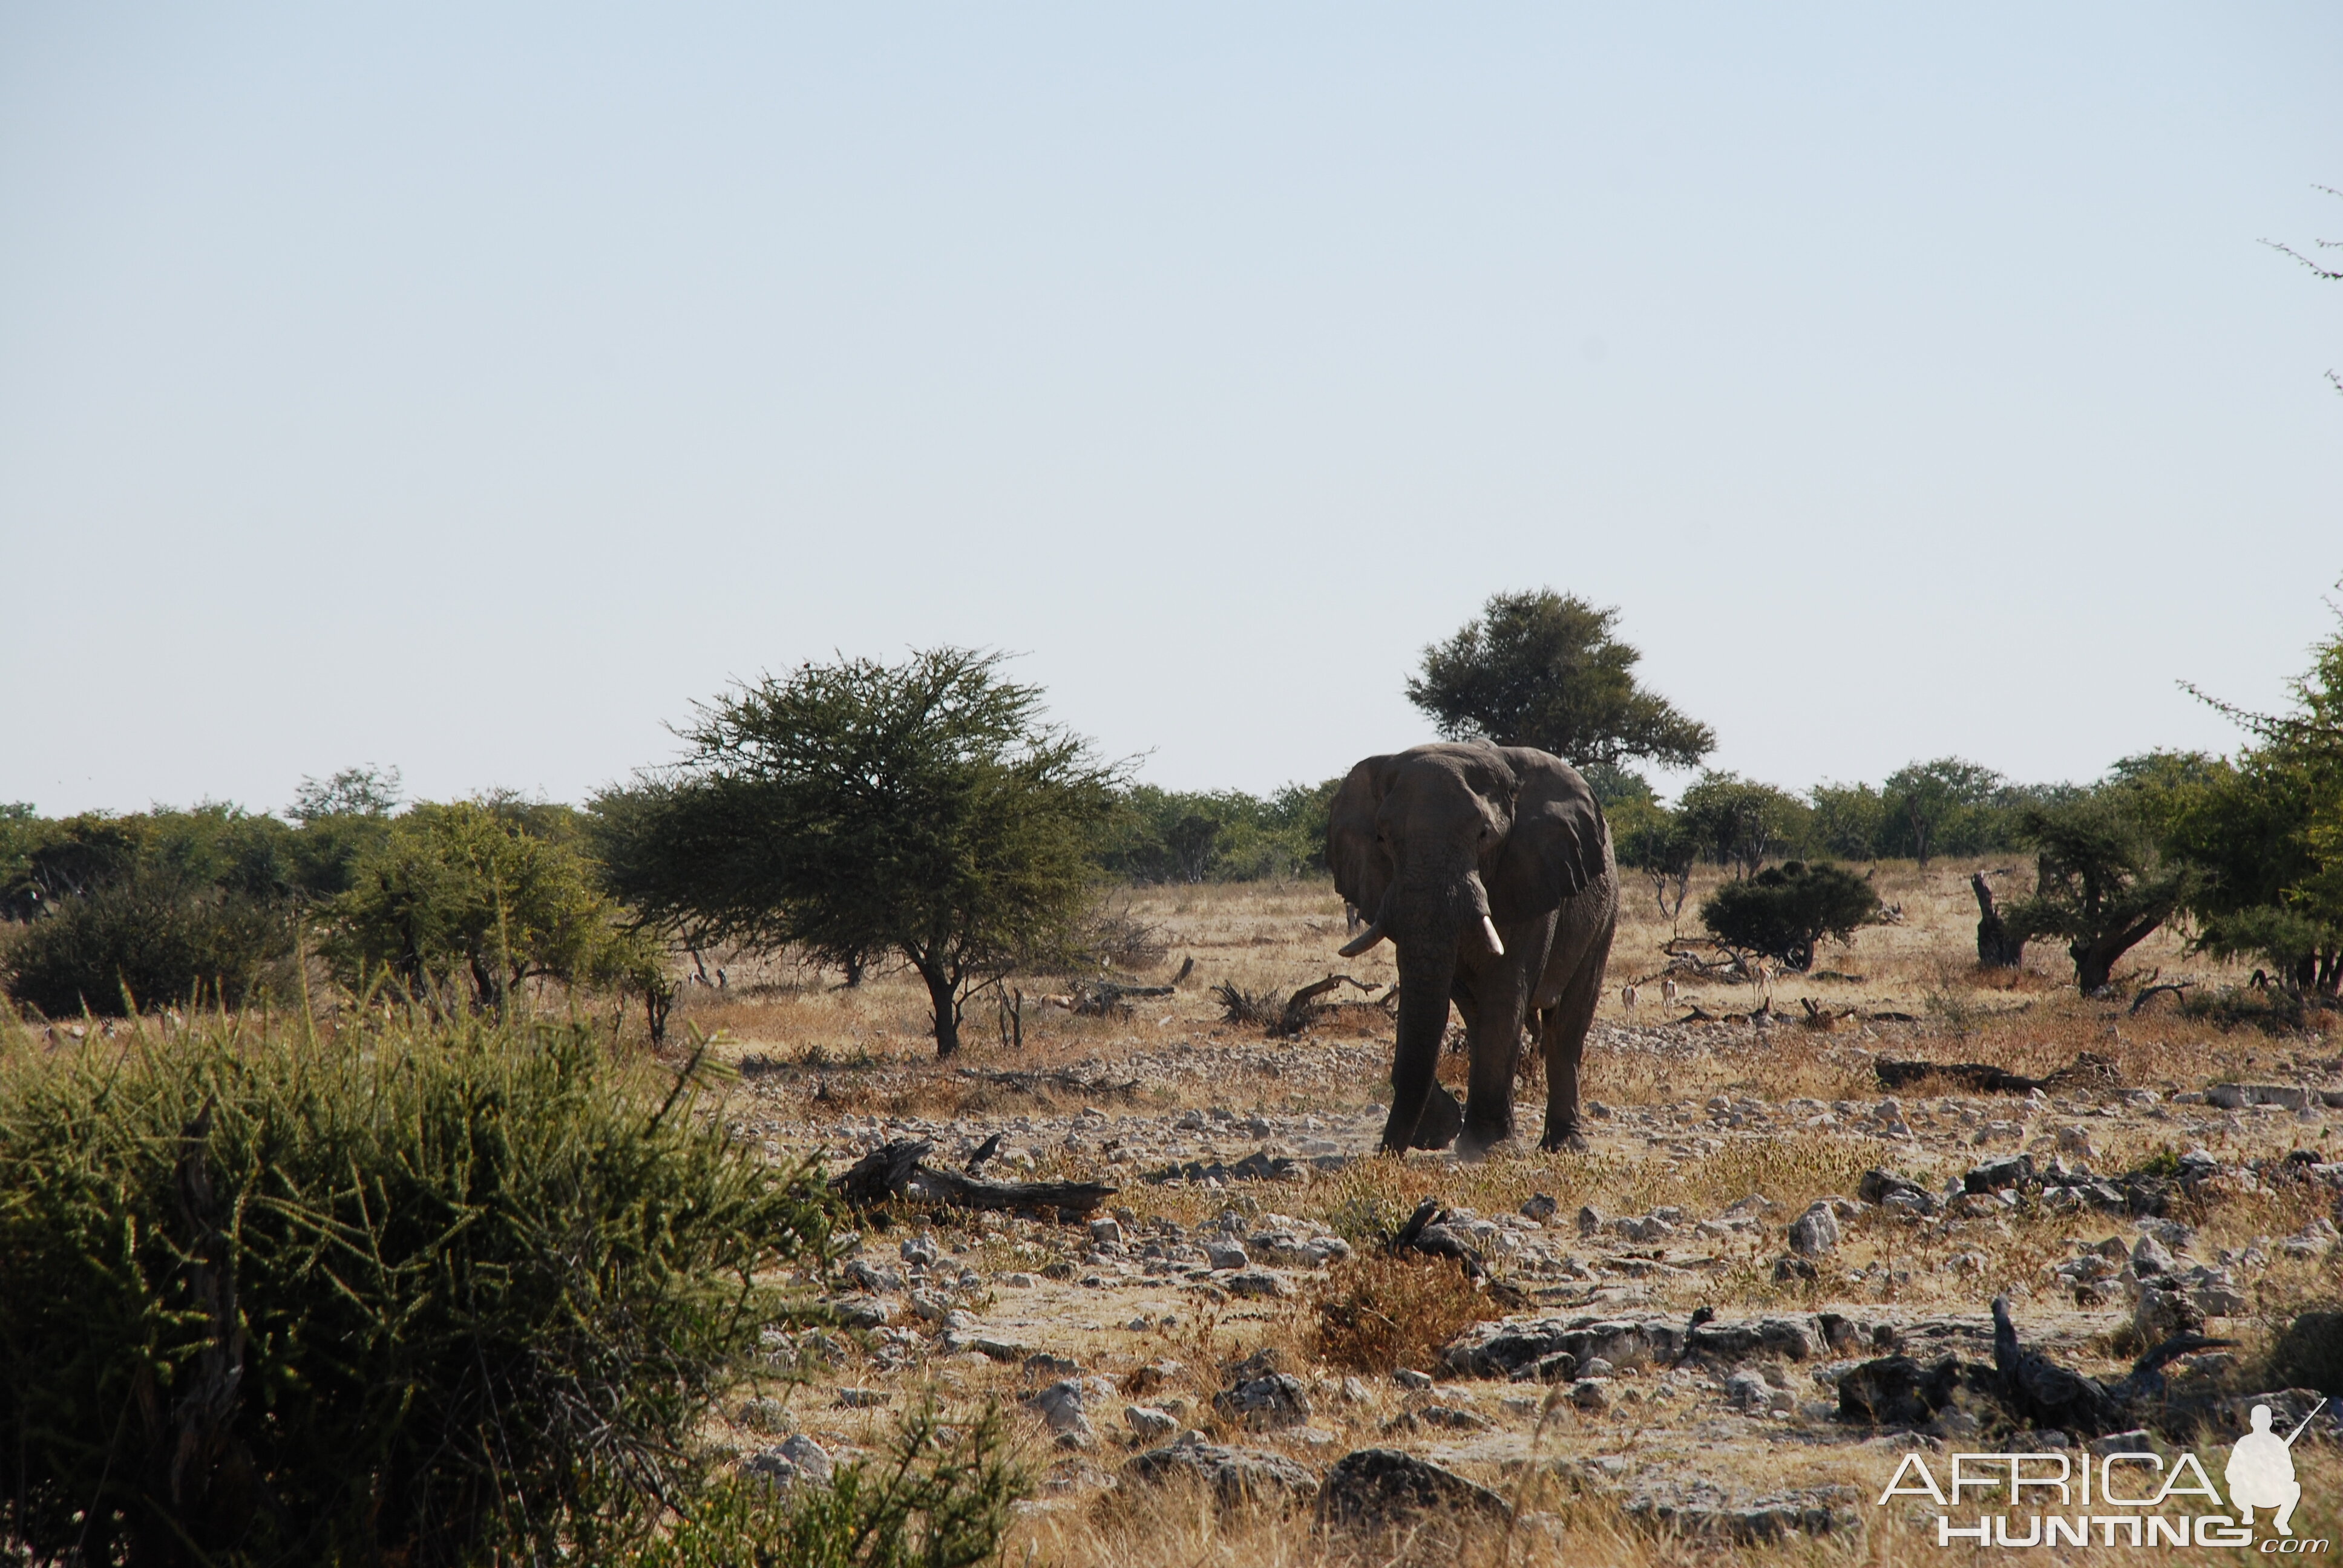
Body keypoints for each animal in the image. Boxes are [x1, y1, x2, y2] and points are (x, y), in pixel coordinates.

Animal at [1331, 740, 1621, 1157]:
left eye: (1484, 834)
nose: (1386, 1153)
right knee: (1476, 1015)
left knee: (1566, 1026)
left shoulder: (1531, 873)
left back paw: (1564, 1146)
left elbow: (1506, 985)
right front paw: (1445, 1131)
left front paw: (1485, 1148)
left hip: (1605, 914)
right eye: (1382, 839)